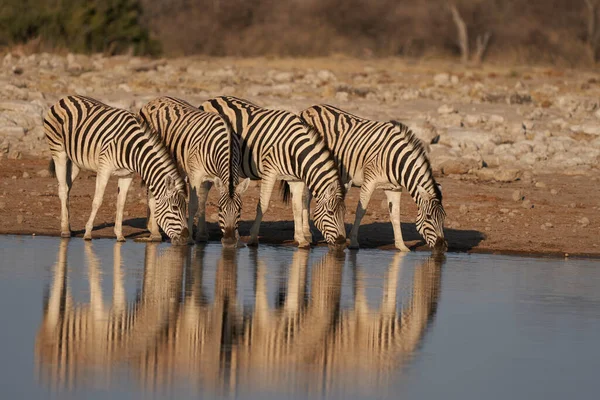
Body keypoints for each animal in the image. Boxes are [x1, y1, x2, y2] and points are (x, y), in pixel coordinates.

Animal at [43, 95, 189, 244]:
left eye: (185, 208)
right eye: (175, 208)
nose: (186, 238)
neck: (133, 149)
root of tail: (66, 98)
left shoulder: (127, 174)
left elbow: (121, 203)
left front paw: (119, 235)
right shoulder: (104, 168)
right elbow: (97, 201)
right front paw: (88, 232)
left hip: (75, 162)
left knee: (67, 187)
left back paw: (68, 226)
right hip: (58, 151)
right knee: (63, 189)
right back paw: (65, 230)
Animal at [139, 97, 250, 247]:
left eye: (239, 210)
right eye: (220, 209)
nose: (229, 240)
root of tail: (155, 99)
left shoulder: (210, 178)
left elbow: (202, 202)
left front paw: (204, 236)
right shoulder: (195, 175)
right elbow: (193, 205)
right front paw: (189, 238)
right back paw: (154, 232)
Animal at [199, 95, 346, 248]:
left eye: (344, 213)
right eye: (331, 212)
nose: (341, 242)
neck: (294, 149)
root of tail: (211, 99)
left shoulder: (295, 179)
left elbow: (297, 207)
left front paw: (301, 239)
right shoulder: (270, 171)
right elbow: (263, 205)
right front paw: (253, 238)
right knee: (203, 194)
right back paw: (206, 235)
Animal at [300, 104, 446, 252]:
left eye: (444, 217)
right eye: (429, 217)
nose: (441, 246)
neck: (395, 160)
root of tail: (310, 108)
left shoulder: (394, 188)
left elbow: (395, 215)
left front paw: (401, 246)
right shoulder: (369, 181)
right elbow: (361, 211)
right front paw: (354, 242)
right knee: (305, 198)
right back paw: (307, 234)